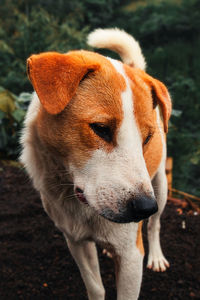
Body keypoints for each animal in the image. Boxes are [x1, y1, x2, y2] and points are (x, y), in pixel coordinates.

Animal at [20, 28, 172, 300]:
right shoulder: (76, 240)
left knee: (155, 225)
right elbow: (95, 286)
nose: (144, 207)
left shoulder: (132, 255)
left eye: (147, 138)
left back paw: (156, 255)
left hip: (161, 187)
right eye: (101, 128)